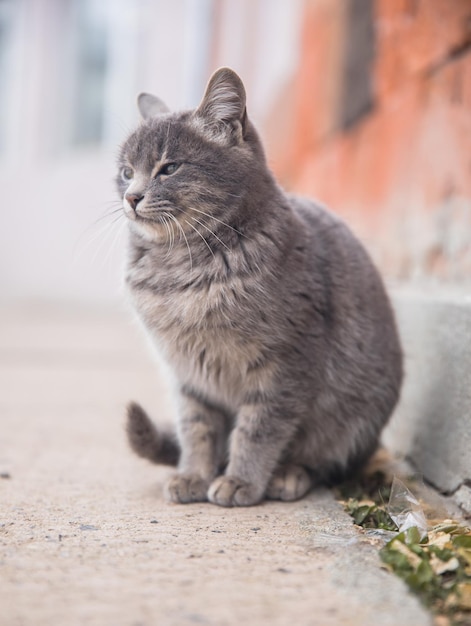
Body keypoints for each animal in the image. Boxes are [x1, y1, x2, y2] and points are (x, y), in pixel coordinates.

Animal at [117, 68, 402, 504]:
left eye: (169, 168)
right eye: (126, 172)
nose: (132, 197)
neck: (181, 270)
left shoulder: (284, 363)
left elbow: (259, 428)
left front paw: (240, 481)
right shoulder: (186, 375)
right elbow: (196, 427)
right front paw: (194, 475)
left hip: (355, 421)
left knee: (326, 460)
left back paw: (289, 475)